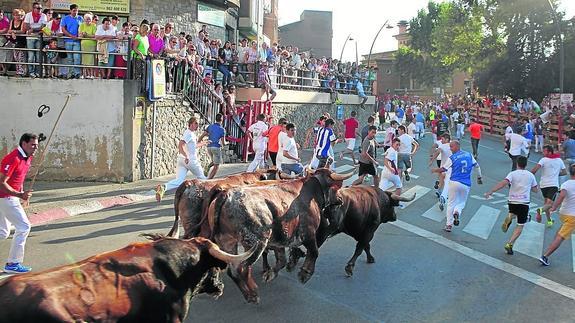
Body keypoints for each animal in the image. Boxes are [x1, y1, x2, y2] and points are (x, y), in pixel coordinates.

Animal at [202, 168, 356, 306]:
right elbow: (314, 252)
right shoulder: (309, 233)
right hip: (255, 243)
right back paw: (253, 294)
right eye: (337, 187)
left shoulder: (279, 240)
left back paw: (248, 294)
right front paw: (304, 274)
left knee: (232, 269)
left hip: (227, 242)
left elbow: (282, 260)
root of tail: (225, 194)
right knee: (242, 268)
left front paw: (271, 273)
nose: (341, 199)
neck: (311, 192)